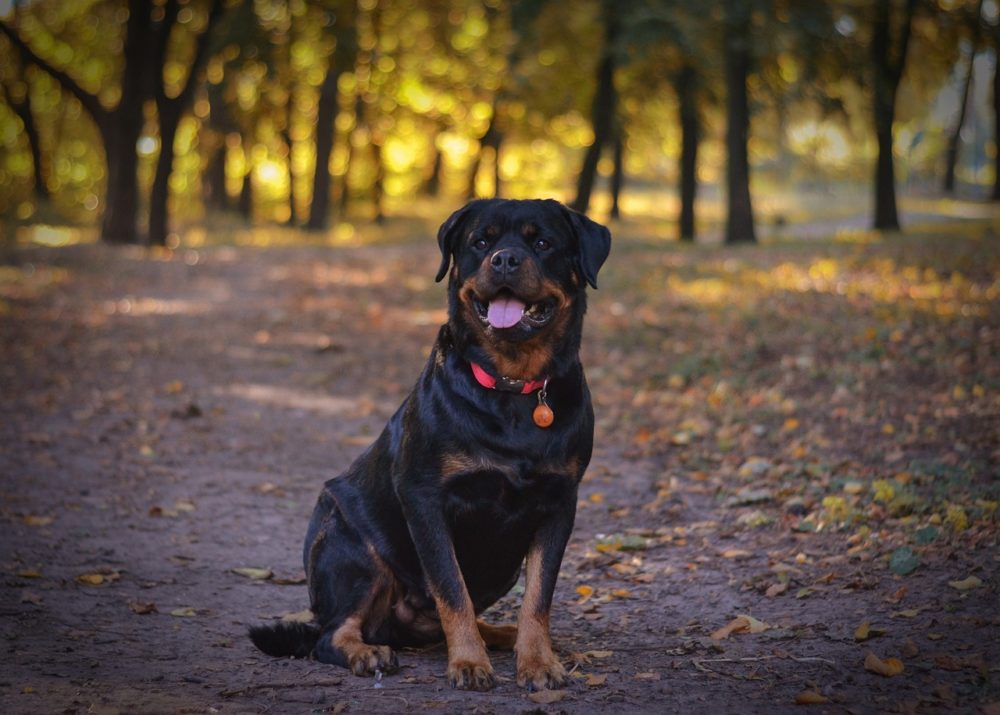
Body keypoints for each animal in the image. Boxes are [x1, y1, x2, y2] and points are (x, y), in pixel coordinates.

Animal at [250, 199, 608, 692]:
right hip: (351, 548)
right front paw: (469, 663)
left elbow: (538, 596)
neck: (513, 387)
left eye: (542, 242)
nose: (505, 259)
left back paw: (504, 635)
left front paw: (536, 660)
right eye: (481, 241)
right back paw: (367, 652)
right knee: (332, 633)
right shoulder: (424, 498)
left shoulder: (559, 502)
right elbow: (450, 589)